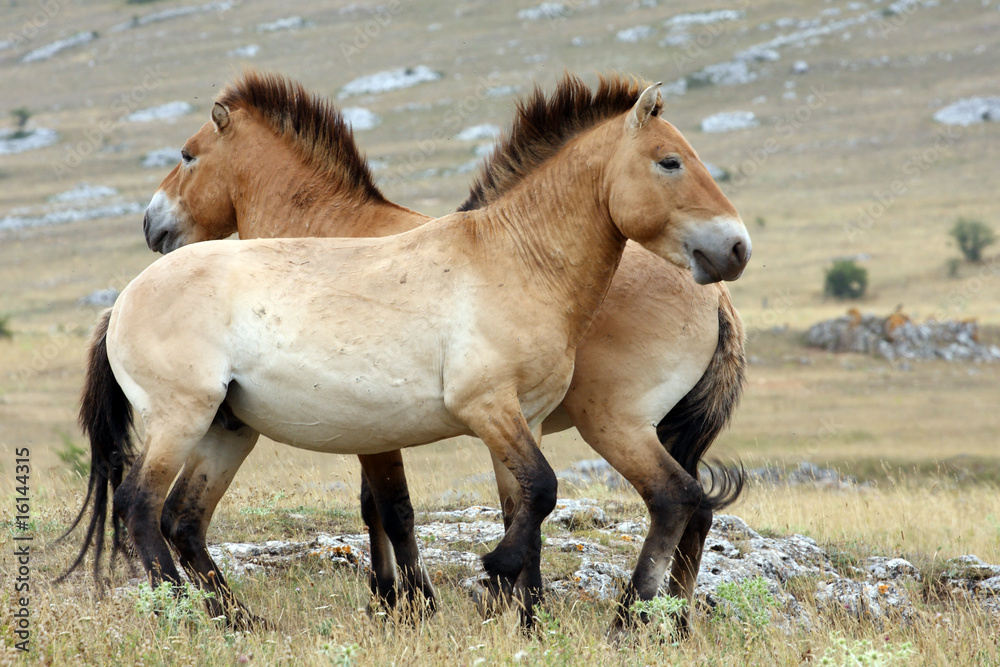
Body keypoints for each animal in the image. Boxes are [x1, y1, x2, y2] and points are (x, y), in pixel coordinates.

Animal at [68, 72, 751, 632]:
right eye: (670, 162)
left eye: (187, 155)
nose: (736, 248)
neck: (512, 258)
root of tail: (123, 300)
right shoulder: (481, 411)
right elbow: (507, 496)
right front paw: (463, 589)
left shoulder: (518, 418)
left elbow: (523, 501)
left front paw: (518, 615)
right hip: (183, 419)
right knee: (142, 507)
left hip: (225, 427)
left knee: (180, 516)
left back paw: (239, 621)